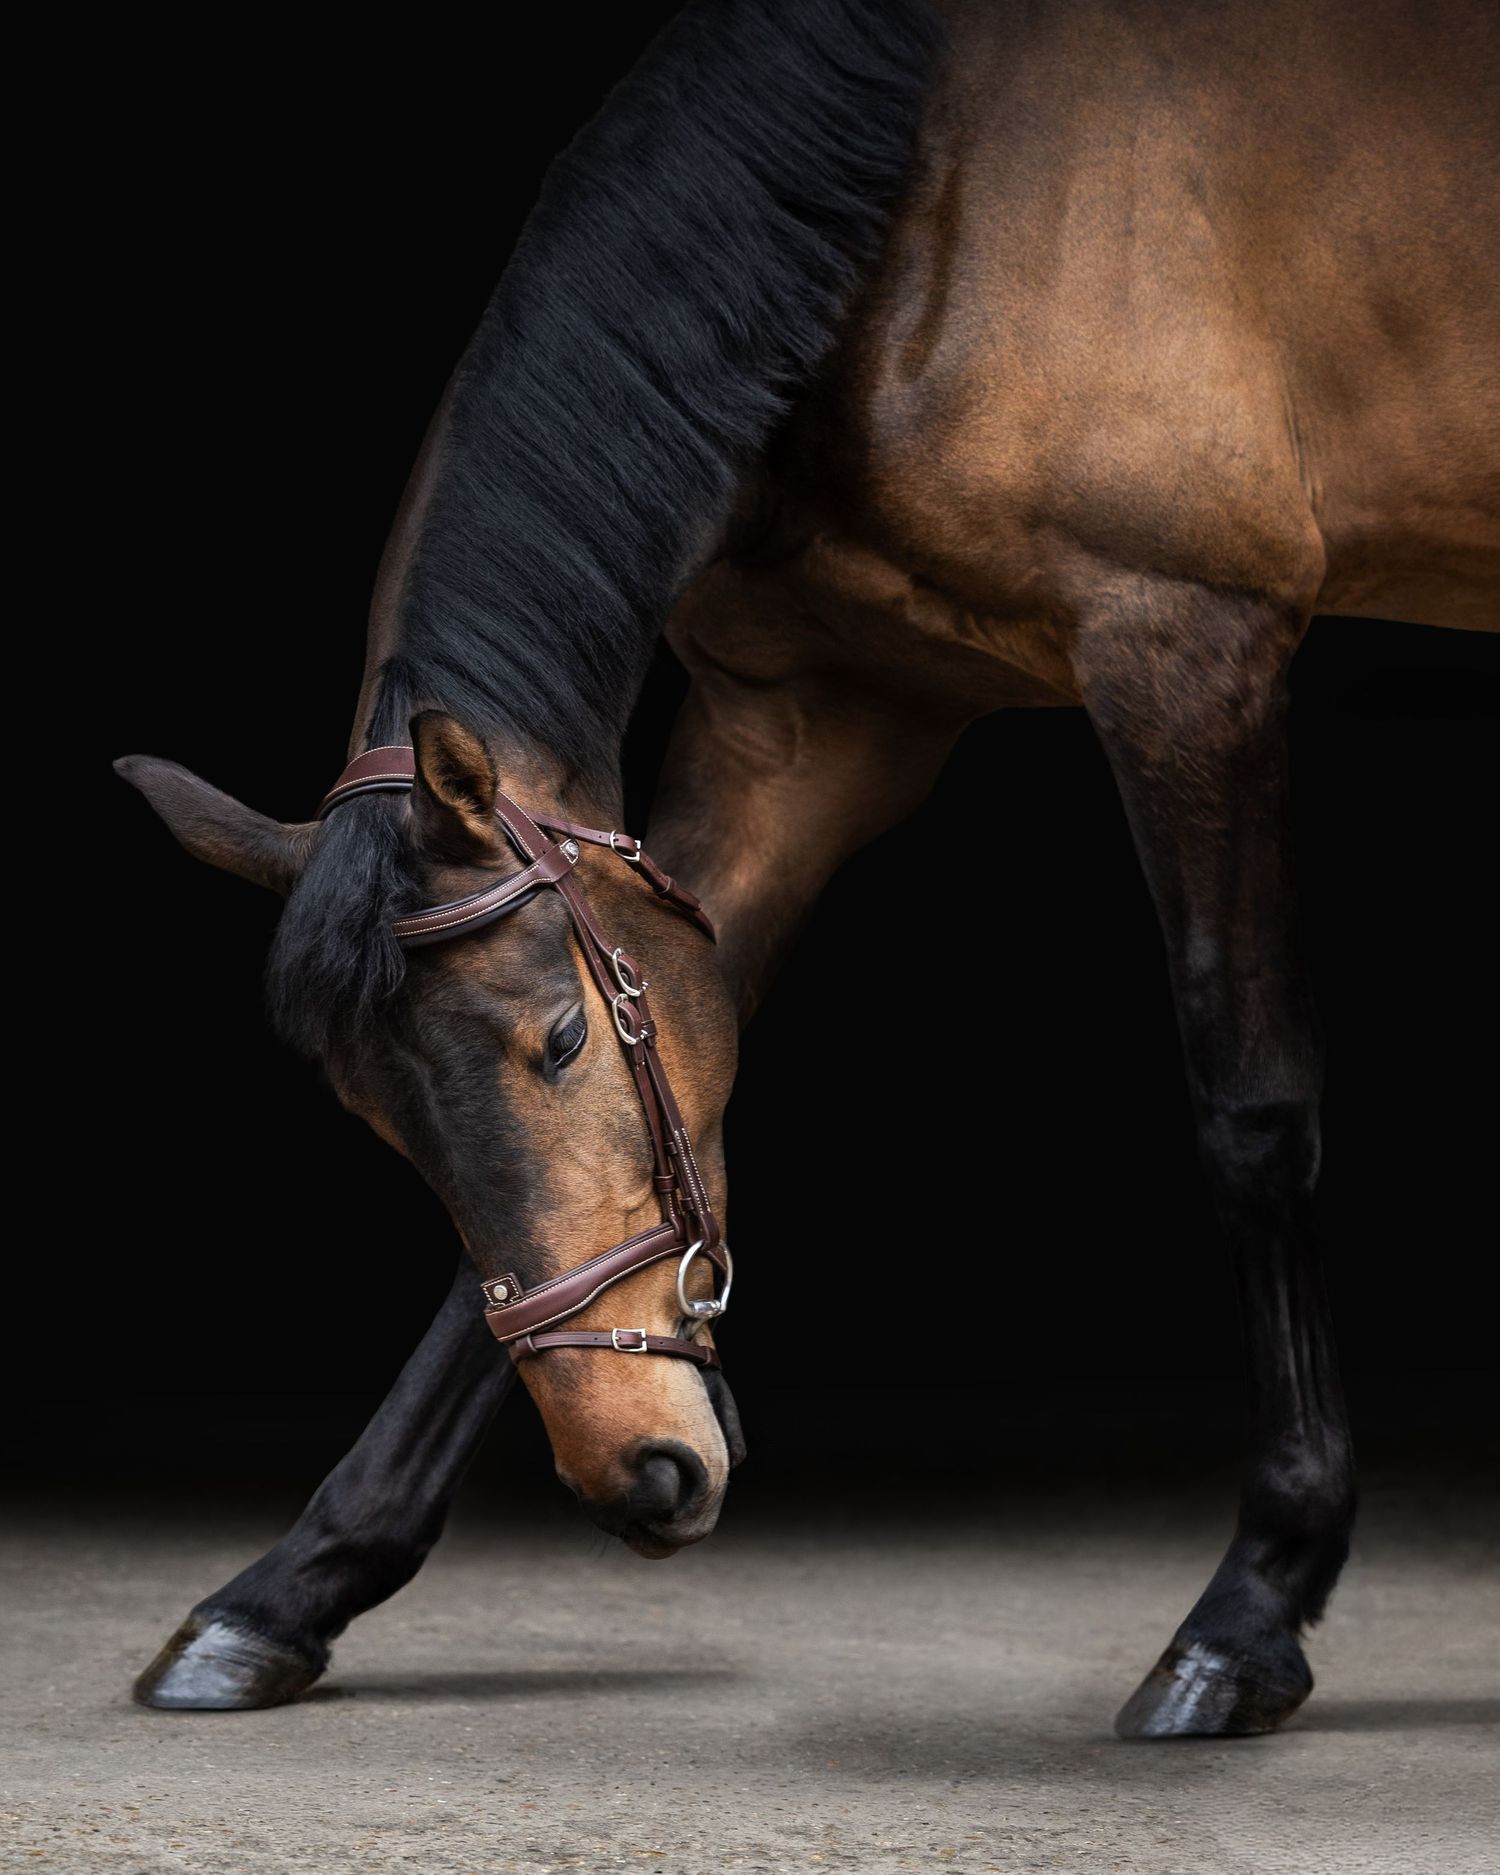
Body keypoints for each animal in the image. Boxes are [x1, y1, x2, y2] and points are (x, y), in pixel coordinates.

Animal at [115, 0, 1498, 1734]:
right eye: (380, 1121)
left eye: (558, 1039)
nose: (641, 1473)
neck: (928, 179)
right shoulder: (811, 728)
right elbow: (656, 1141)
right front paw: (292, 1583)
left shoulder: (1188, 642)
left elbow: (1253, 1115)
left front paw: (1252, 1605)